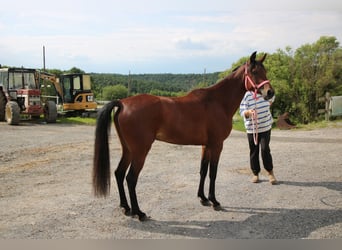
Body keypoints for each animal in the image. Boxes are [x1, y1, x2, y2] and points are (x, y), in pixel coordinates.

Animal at [92, 51, 274, 221]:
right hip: (140, 152)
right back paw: (139, 212)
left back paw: (126, 207)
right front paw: (214, 201)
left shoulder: (206, 145)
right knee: (131, 178)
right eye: (254, 71)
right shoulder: (217, 145)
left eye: (265, 71)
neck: (217, 102)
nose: (270, 92)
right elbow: (213, 173)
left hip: (128, 150)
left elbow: (203, 170)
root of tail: (123, 103)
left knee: (119, 173)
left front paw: (203, 198)